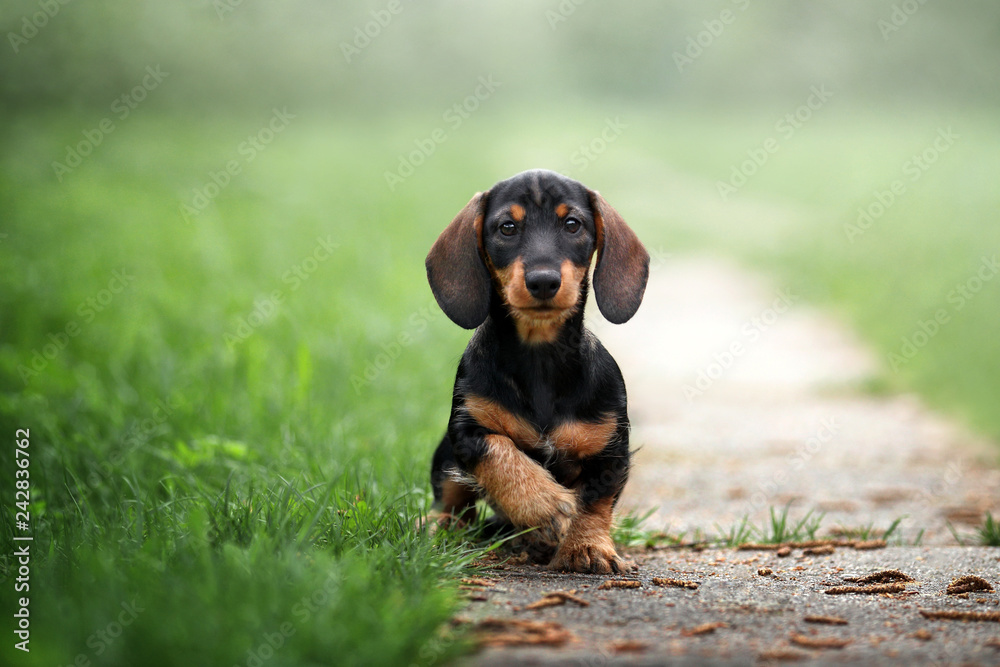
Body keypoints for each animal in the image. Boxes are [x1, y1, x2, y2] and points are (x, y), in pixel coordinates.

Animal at [424, 167, 648, 576]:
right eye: (507, 227)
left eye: (573, 224)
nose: (543, 281)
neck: (540, 358)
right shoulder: (466, 431)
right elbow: (499, 451)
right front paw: (543, 502)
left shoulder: (611, 448)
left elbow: (595, 501)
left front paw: (586, 545)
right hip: (445, 455)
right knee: (452, 502)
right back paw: (439, 527)